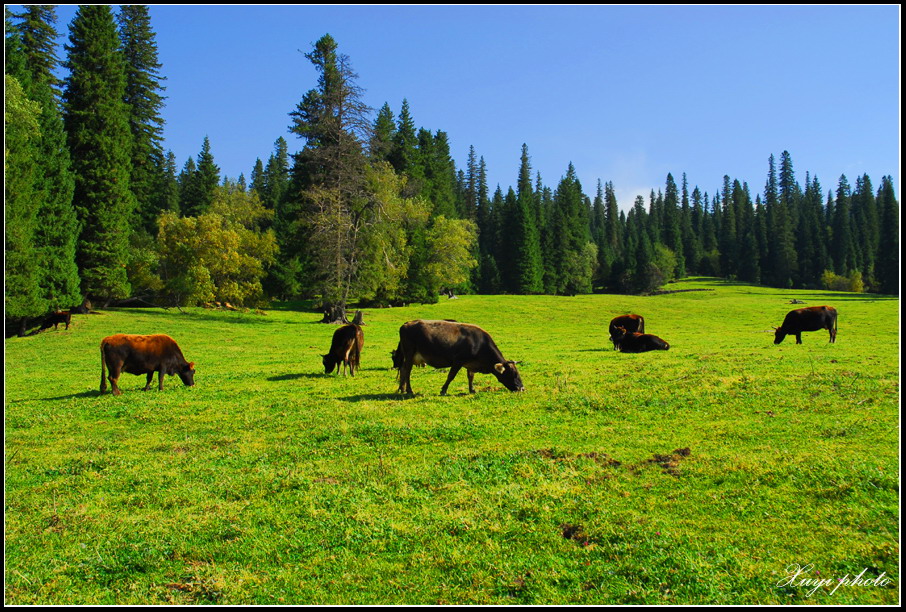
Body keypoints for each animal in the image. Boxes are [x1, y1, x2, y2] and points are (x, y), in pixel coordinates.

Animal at [394, 320, 524, 396]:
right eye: (513, 374)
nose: (522, 388)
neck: (479, 343)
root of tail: (407, 323)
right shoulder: (458, 361)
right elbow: (451, 376)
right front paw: (443, 390)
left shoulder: (471, 363)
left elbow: (470, 377)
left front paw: (472, 390)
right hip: (409, 353)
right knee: (407, 371)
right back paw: (409, 390)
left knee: (403, 370)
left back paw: (402, 389)